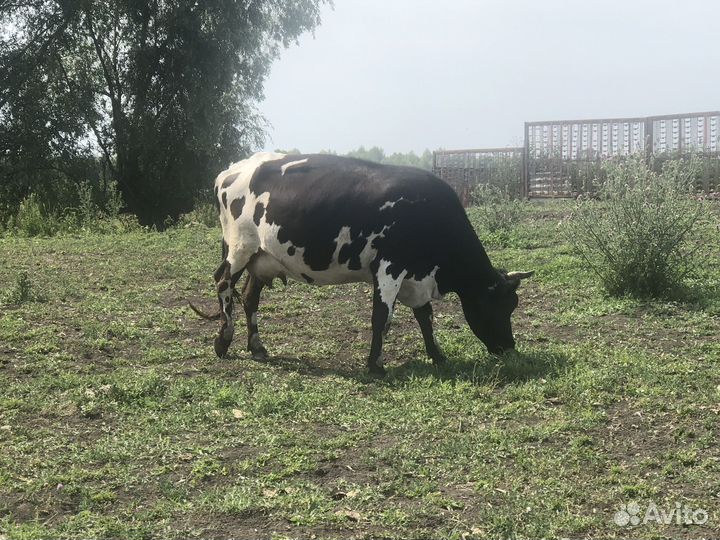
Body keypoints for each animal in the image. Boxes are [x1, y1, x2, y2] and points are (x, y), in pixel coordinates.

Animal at [190, 152, 533, 376]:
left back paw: (258, 348)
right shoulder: (389, 267)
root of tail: (231, 170)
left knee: (249, 298)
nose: (509, 347)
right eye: (500, 306)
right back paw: (223, 341)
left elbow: (425, 317)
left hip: (262, 258)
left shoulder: (416, 277)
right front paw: (375, 365)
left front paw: (437, 355)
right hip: (239, 248)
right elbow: (382, 316)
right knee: (223, 283)